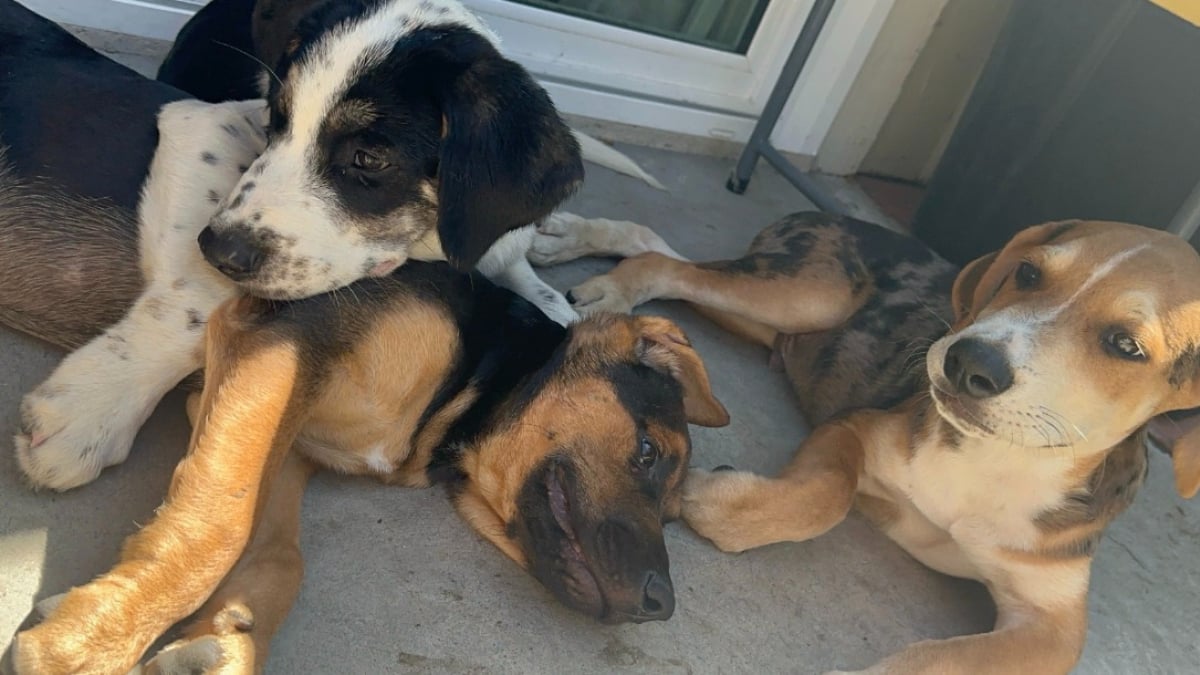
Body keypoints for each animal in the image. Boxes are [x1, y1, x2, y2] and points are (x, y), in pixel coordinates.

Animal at [0, 0, 657, 487]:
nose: (218, 248)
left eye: (369, 158)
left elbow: (555, 309)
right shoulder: (203, 123)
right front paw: (93, 407)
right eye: (276, 120)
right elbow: (206, 296)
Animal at [9, 261, 724, 672]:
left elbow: (275, 552)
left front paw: (229, 637)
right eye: (649, 452)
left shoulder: (287, 440)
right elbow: (219, 525)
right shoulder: (282, 347)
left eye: (674, 513)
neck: (477, 380)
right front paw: (92, 638)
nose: (662, 606)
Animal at [530, 213, 1200, 672]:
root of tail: (833, 216)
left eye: (1126, 346)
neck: (997, 460)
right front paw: (709, 497)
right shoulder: (857, 428)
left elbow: (945, 658)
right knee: (671, 267)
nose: (967, 363)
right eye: (1029, 272)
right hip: (806, 295)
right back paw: (604, 285)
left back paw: (569, 236)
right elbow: (827, 494)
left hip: (774, 316)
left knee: (673, 255)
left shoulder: (1055, 625)